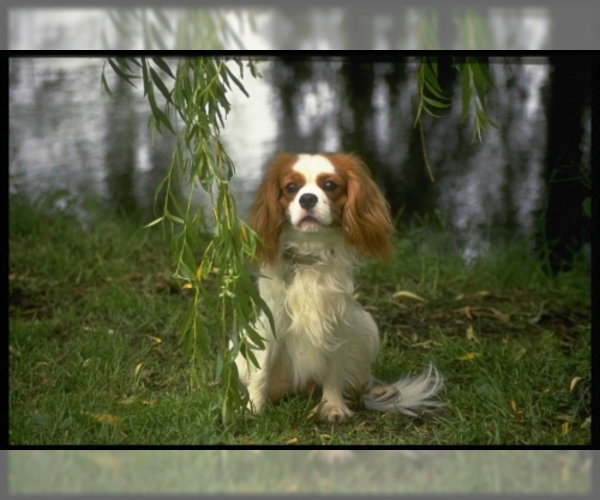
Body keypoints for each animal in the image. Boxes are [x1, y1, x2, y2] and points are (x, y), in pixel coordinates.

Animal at [234, 153, 446, 422]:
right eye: (291, 188)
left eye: (330, 185)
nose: (307, 198)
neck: (310, 254)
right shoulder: (272, 321)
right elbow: (261, 371)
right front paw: (253, 408)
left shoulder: (337, 322)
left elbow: (334, 369)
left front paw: (333, 406)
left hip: (366, 325)